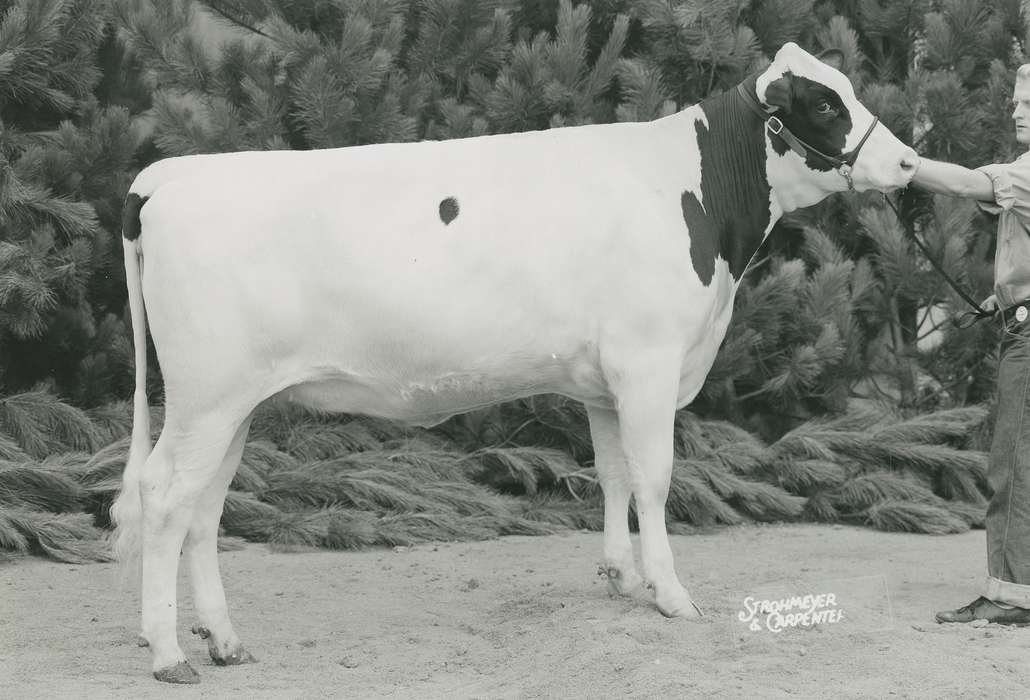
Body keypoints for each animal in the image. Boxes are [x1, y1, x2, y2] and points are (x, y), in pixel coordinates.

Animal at [111, 42, 918, 683]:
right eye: (825, 102)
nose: (909, 160)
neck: (698, 198)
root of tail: (167, 177)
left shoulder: (605, 381)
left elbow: (613, 473)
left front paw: (623, 579)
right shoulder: (649, 363)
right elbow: (655, 479)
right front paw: (671, 594)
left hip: (233, 403)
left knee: (204, 508)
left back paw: (224, 641)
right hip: (206, 396)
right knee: (164, 496)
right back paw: (168, 653)